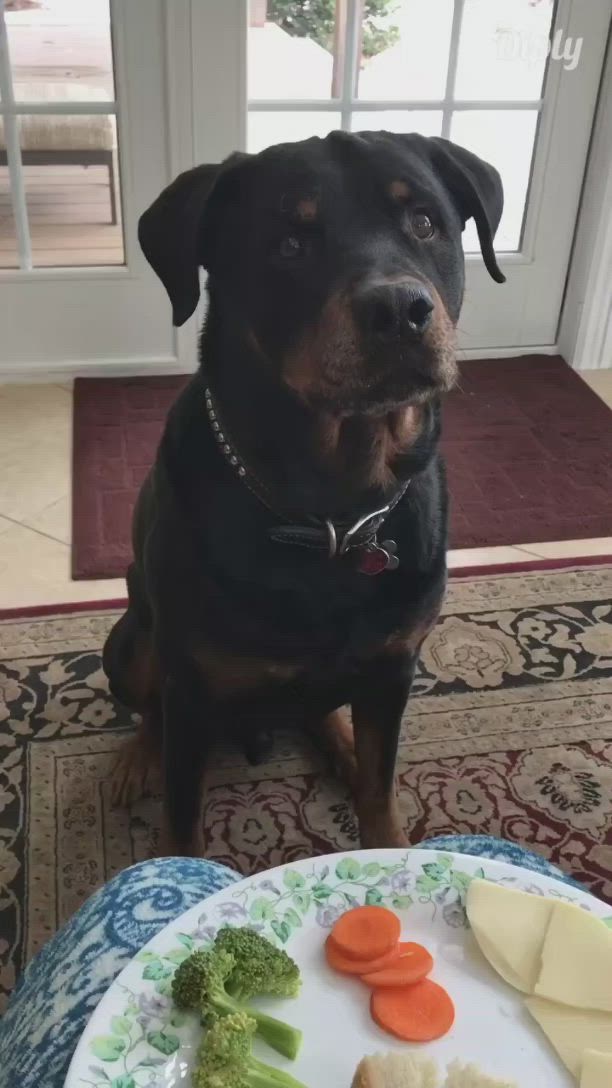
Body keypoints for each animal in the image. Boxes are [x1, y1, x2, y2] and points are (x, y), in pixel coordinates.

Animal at [104, 129, 503, 857]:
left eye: (424, 222)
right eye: (290, 244)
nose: (399, 310)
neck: (333, 511)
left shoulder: (395, 666)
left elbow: (380, 786)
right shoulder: (192, 688)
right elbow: (182, 821)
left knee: (327, 714)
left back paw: (341, 744)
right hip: (132, 643)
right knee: (149, 706)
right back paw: (137, 758)